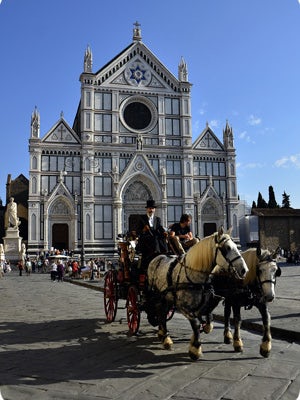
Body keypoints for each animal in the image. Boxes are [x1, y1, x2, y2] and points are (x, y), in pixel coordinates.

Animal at [146, 227, 248, 360]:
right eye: (227, 248)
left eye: (236, 246)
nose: (244, 270)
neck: (195, 274)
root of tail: (156, 258)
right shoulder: (183, 307)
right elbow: (196, 323)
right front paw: (195, 349)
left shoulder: (202, 305)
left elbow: (208, 322)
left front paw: (195, 340)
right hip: (159, 296)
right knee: (161, 313)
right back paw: (166, 339)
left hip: (167, 297)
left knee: (162, 312)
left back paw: (162, 334)